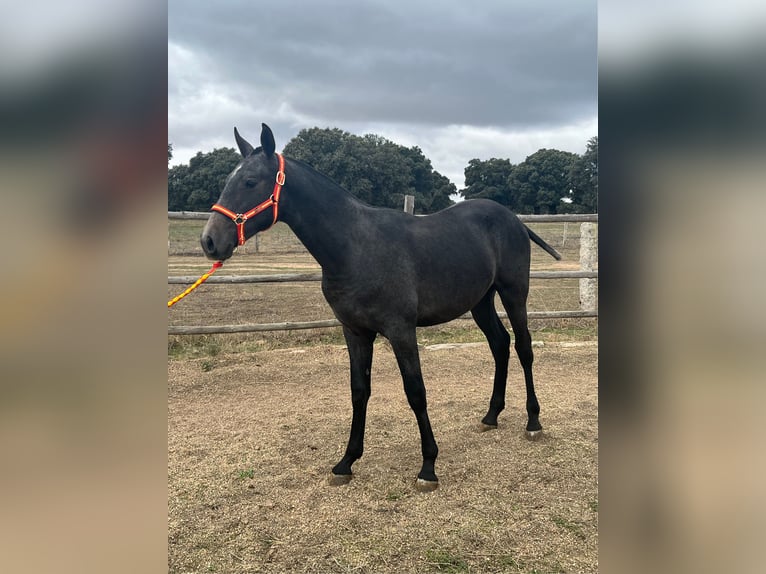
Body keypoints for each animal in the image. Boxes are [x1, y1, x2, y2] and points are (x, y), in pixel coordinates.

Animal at [200, 124, 562, 492]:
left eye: (250, 182)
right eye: (228, 180)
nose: (210, 241)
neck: (355, 247)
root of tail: (514, 220)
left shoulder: (400, 331)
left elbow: (416, 391)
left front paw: (428, 466)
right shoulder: (355, 332)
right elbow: (359, 391)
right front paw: (346, 462)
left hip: (514, 293)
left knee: (523, 347)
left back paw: (533, 421)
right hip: (481, 302)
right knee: (500, 345)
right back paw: (491, 415)